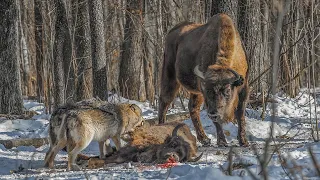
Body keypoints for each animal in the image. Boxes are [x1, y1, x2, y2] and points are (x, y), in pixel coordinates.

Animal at [159, 13, 249, 147]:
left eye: (227, 90)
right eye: (208, 91)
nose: (213, 113)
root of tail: (172, 31)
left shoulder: (244, 86)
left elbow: (240, 113)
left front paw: (243, 141)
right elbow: (218, 121)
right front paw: (222, 142)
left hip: (195, 91)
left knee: (192, 107)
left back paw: (205, 139)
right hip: (170, 76)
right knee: (164, 101)